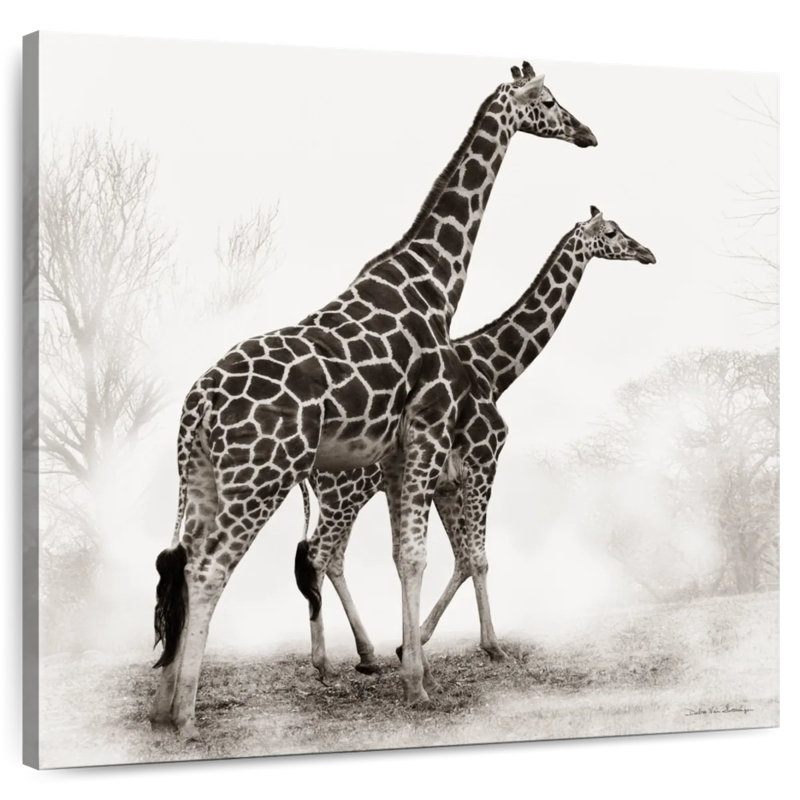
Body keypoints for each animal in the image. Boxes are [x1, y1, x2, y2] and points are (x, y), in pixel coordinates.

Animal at [151, 61, 597, 739]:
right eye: (547, 100)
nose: (587, 134)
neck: (436, 283)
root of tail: (195, 405)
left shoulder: (398, 454)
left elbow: (406, 555)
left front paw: (408, 664)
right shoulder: (430, 434)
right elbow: (421, 556)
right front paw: (417, 683)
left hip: (204, 476)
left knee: (184, 562)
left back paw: (163, 705)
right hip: (261, 477)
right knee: (213, 569)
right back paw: (186, 716)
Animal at [295, 207, 656, 680]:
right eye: (612, 232)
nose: (647, 252)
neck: (494, 370)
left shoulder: (447, 483)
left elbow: (461, 557)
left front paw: (412, 646)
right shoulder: (484, 460)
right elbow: (477, 557)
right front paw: (491, 647)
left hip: (345, 496)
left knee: (333, 558)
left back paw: (366, 655)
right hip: (347, 493)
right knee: (319, 556)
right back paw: (324, 662)